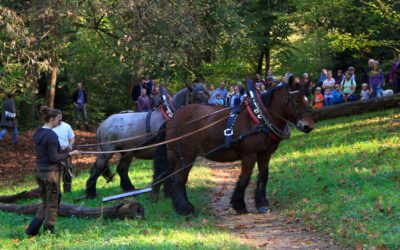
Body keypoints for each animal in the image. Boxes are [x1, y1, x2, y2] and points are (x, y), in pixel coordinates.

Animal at [153, 75, 316, 216]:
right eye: (296, 100)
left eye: (309, 99)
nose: (308, 126)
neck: (259, 118)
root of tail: (172, 119)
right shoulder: (249, 154)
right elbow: (245, 177)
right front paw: (239, 205)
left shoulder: (265, 154)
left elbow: (263, 176)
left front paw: (262, 204)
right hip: (185, 157)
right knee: (179, 179)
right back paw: (185, 209)